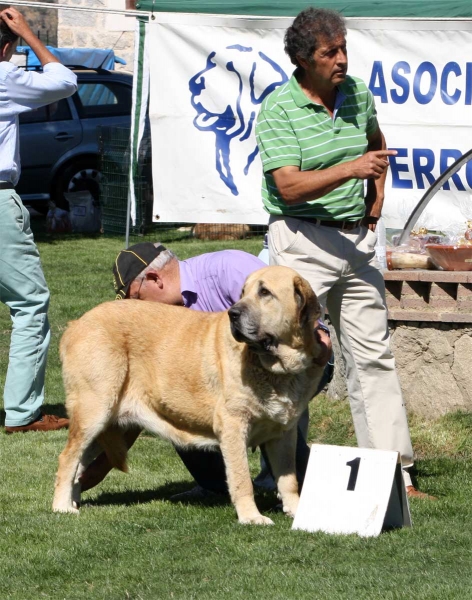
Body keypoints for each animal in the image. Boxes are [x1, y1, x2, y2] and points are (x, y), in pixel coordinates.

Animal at [52, 268, 324, 524]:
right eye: (243, 292)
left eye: (265, 292)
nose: (233, 314)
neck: (276, 368)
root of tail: (75, 324)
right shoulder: (233, 425)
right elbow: (241, 478)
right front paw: (251, 517)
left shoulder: (283, 433)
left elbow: (289, 479)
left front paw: (296, 511)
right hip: (94, 412)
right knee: (67, 458)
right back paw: (62, 507)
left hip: (105, 424)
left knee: (79, 464)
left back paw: (73, 501)